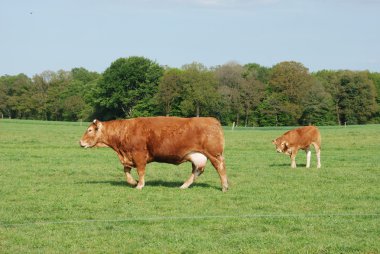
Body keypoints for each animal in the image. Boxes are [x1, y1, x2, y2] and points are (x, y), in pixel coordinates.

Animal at [79, 116, 229, 191]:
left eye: (90, 130)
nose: (80, 142)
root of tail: (213, 120)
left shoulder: (139, 155)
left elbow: (140, 171)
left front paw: (139, 185)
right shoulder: (128, 156)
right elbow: (126, 171)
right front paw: (133, 182)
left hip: (214, 154)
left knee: (220, 168)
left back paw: (224, 186)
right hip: (197, 156)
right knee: (197, 171)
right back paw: (184, 186)